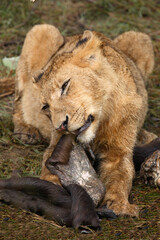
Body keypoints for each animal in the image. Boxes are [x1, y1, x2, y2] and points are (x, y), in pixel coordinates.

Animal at [13, 24, 157, 218]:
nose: (61, 125)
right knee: (17, 100)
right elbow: (49, 166)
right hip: (42, 30)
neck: (101, 116)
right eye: (45, 107)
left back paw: (144, 136)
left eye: (65, 85)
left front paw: (119, 205)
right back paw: (26, 131)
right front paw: (53, 190)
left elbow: (122, 177)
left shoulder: (119, 152)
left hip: (140, 38)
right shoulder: (56, 144)